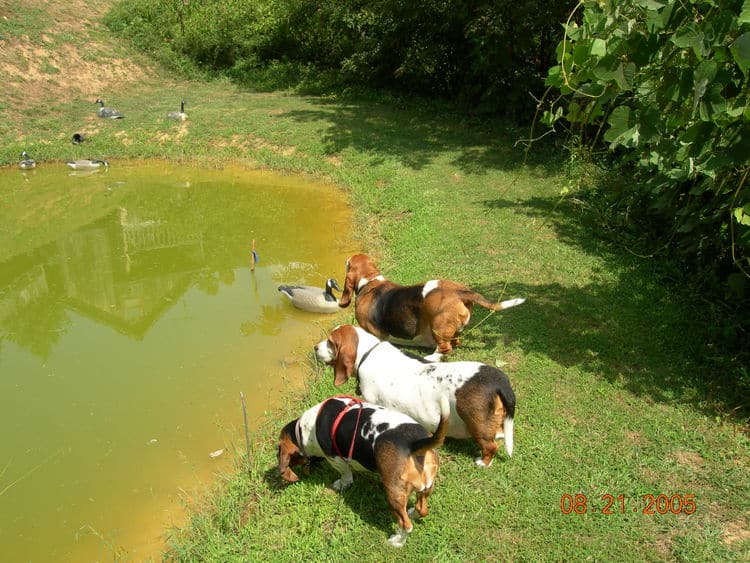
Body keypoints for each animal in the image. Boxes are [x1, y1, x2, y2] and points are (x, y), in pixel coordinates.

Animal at [280, 394, 450, 548]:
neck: (303, 430)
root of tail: (415, 444)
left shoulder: (335, 459)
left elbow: (346, 476)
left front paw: (340, 484)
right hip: (426, 487)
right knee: (422, 509)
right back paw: (413, 512)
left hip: (394, 494)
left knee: (406, 525)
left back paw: (397, 541)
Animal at [312, 326, 516, 468]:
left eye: (330, 342)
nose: (314, 347)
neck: (367, 353)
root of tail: (499, 380)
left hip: (475, 422)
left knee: (491, 446)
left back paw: (483, 462)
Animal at [338, 253, 524, 360]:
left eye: (347, 263)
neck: (370, 281)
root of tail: (460, 292)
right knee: (455, 342)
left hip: (437, 326)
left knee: (445, 349)